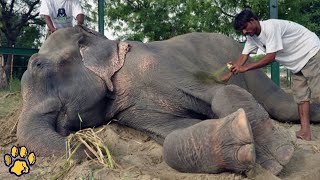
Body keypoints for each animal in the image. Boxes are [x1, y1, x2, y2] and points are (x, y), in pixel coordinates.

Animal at [16, 26, 320, 176]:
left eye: (39, 64)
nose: (91, 149)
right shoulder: (131, 110)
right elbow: (173, 133)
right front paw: (241, 144)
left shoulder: (160, 67)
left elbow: (217, 92)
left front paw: (279, 159)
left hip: (252, 68)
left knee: (283, 106)